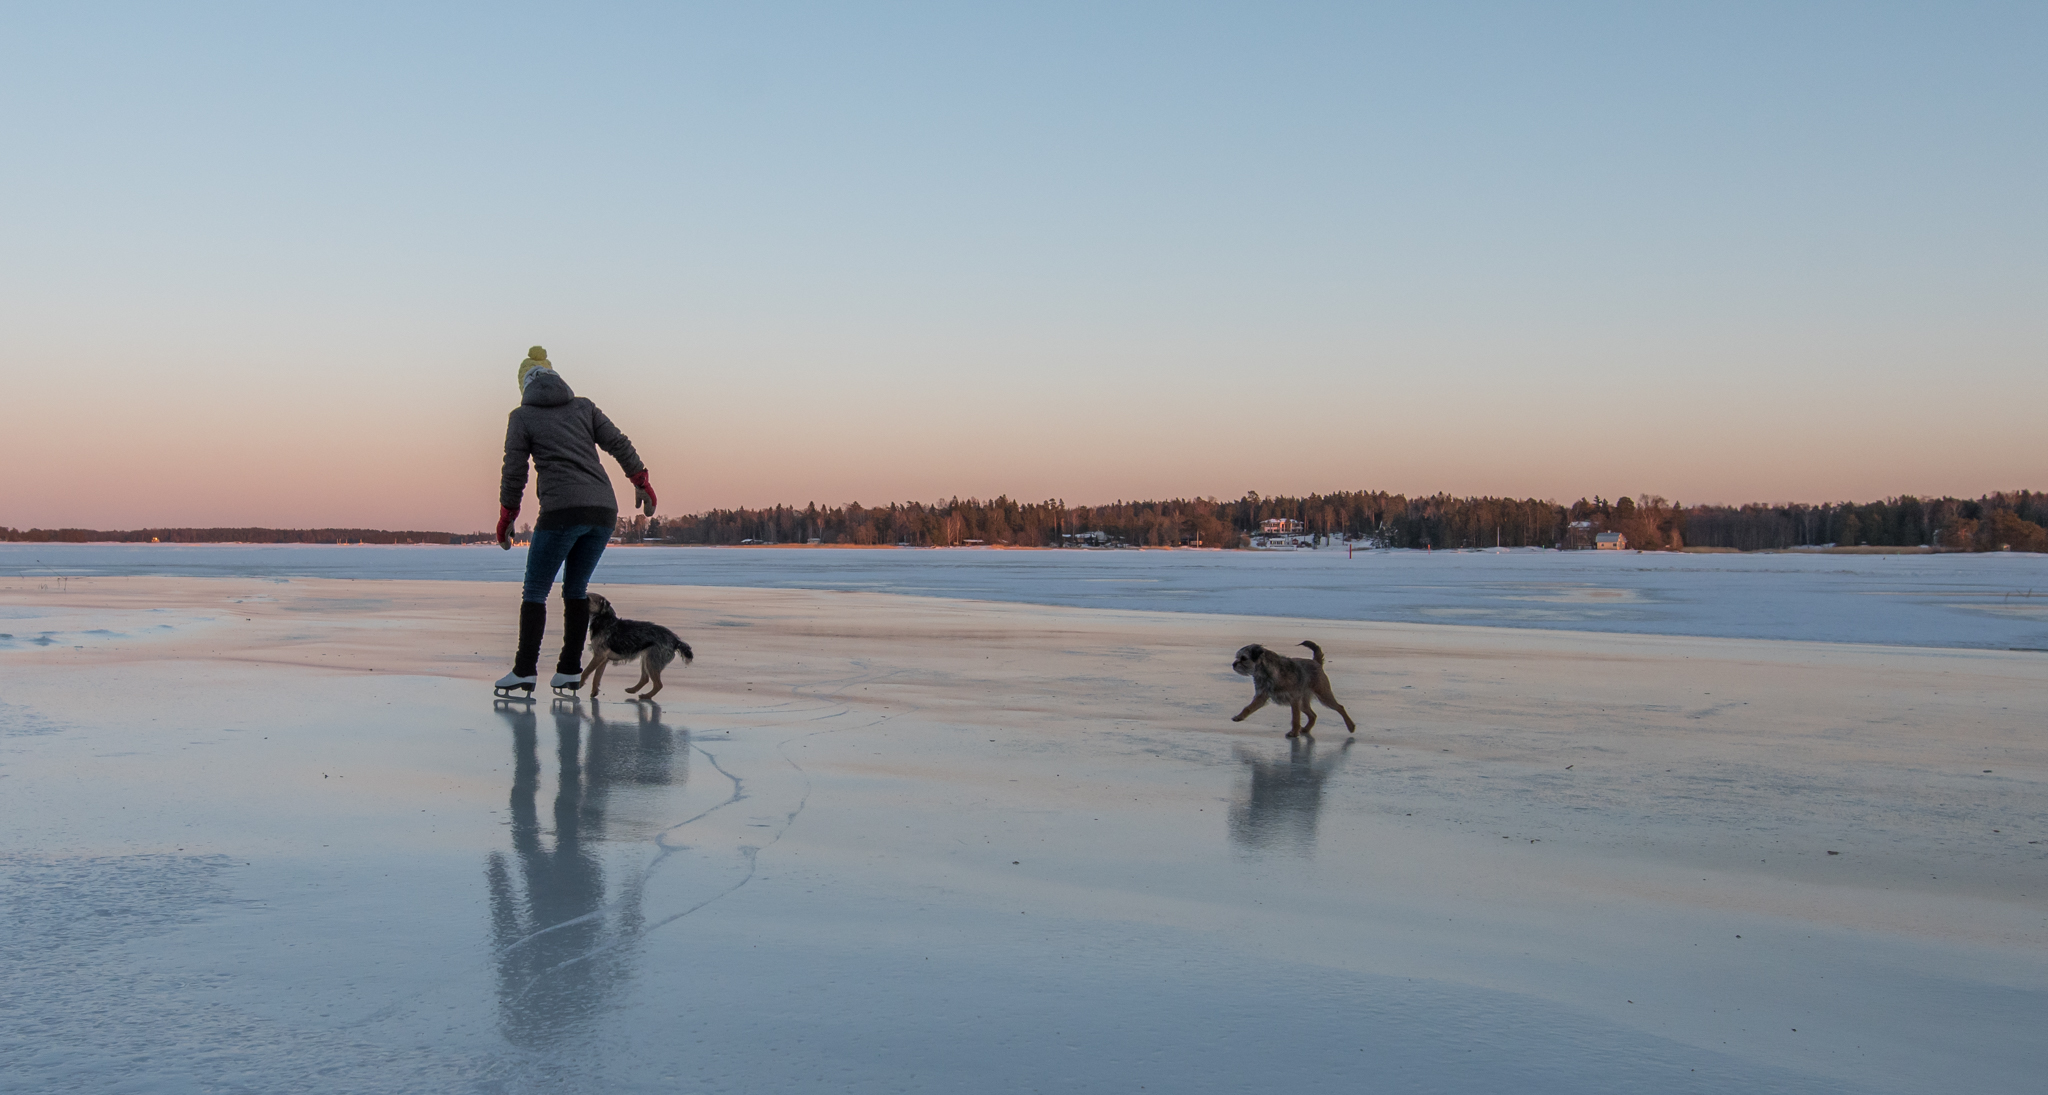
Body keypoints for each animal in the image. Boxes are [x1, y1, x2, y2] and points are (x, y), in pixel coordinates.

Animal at [1228, 642, 1359, 736]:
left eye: (1244, 658)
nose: (1234, 664)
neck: (1268, 672)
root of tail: (1316, 662)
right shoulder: (1261, 696)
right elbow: (1249, 707)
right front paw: (1239, 716)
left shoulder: (1294, 699)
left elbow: (1295, 717)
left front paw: (1294, 732)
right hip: (1304, 702)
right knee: (1313, 715)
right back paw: (1306, 729)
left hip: (1323, 694)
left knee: (1339, 707)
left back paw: (1350, 726)